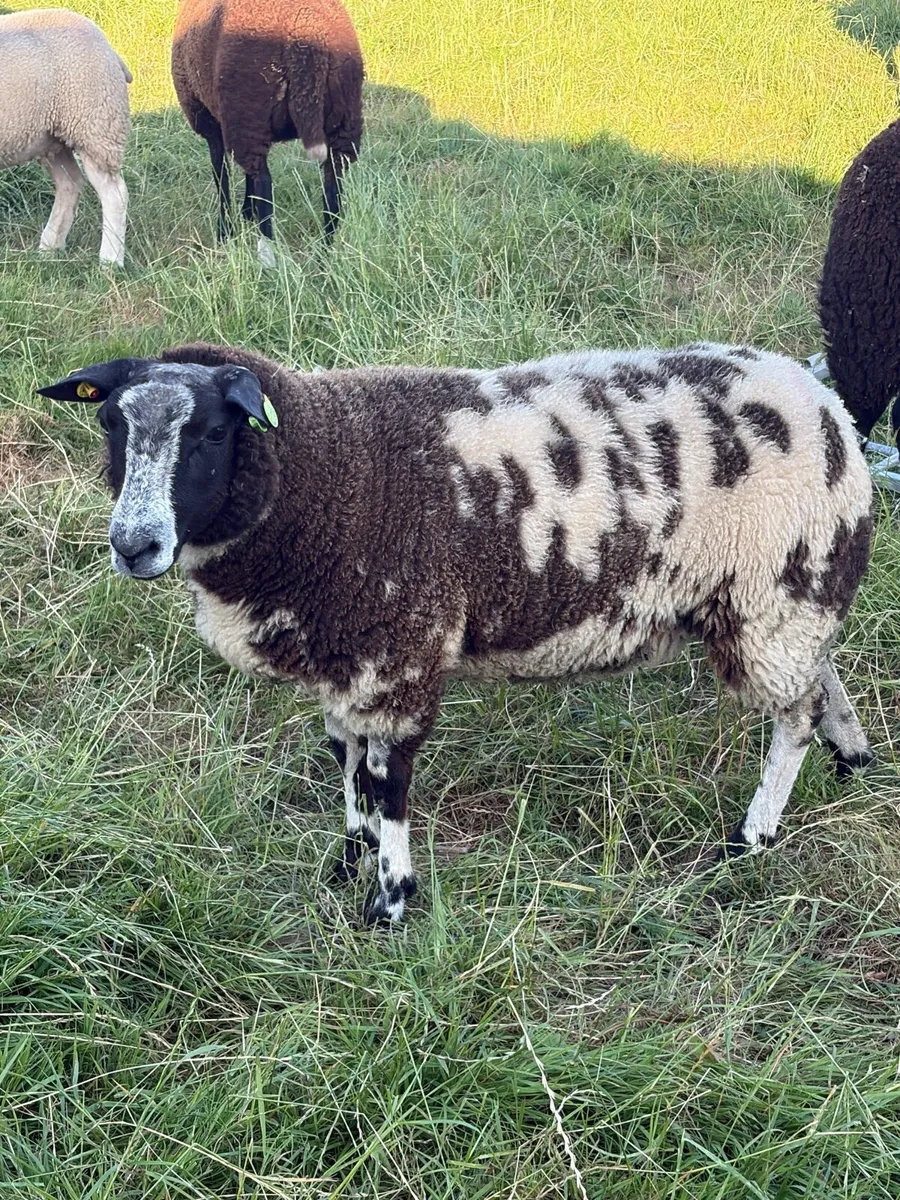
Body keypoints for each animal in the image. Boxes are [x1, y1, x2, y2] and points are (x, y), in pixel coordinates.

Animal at [0, 8, 131, 267]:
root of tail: (107, 45)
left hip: (95, 125)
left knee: (115, 194)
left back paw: (110, 261)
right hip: (52, 139)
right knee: (70, 184)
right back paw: (50, 247)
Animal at [38, 340, 876, 924]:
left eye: (212, 433)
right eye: (109, 423)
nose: (133, 545)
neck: (333, 469)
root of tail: (824, 401)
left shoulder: (398, 655)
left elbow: (387, 780)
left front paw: (390, 901)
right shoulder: (350, 658)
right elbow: (346, 757)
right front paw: (350, 856)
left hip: (772, 594)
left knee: (793, 717)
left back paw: (754, 835)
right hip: (790, 597)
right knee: (821, 676)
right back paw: (852, 755)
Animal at [171, 0, 364, 262]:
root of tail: (307, 39)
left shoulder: (208, 119)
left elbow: (221, 175)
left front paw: (225, 231)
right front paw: (245, 213)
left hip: (247, 110)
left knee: (264, 183)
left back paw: (267, 256)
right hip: (344, 121)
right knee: (333, 184)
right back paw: (326, 253)